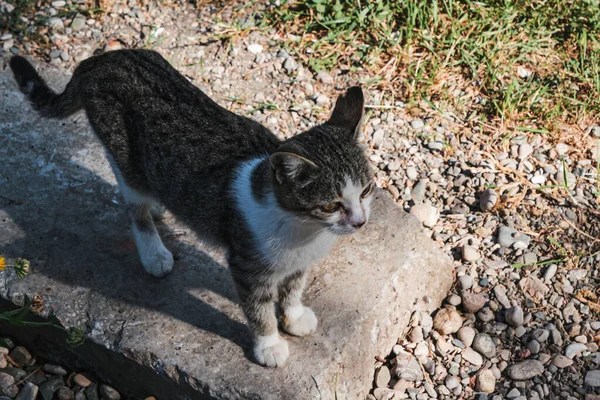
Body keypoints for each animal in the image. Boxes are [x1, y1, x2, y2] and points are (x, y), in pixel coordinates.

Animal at [9, 48, 372, 368]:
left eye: (367, 190)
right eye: (331, 204)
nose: (360, 222)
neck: (304, 230)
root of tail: (100, 59)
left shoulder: (299, 262)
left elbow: (294, 287)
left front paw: (294, 315)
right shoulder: (246, 264)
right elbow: (258, 309)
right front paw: (269, 344)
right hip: (126, 157)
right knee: (133, 203)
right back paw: (153, 250)